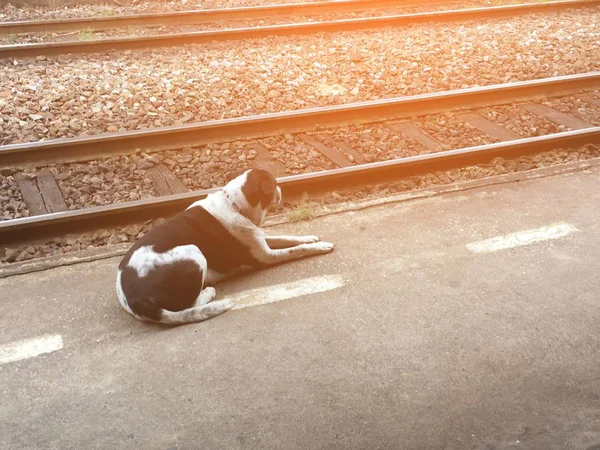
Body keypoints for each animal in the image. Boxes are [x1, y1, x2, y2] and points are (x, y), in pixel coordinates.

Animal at [115, 169, 336, 324]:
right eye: (274, 184)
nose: (282, 188)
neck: (235, 206)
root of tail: (134, 301)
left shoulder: (260, 241)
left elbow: (288, 237)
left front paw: (310, 237)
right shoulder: (265, 256)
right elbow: (296, 250)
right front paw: (320, 246)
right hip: (194, 253)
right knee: (191, 303)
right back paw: (209, 292)